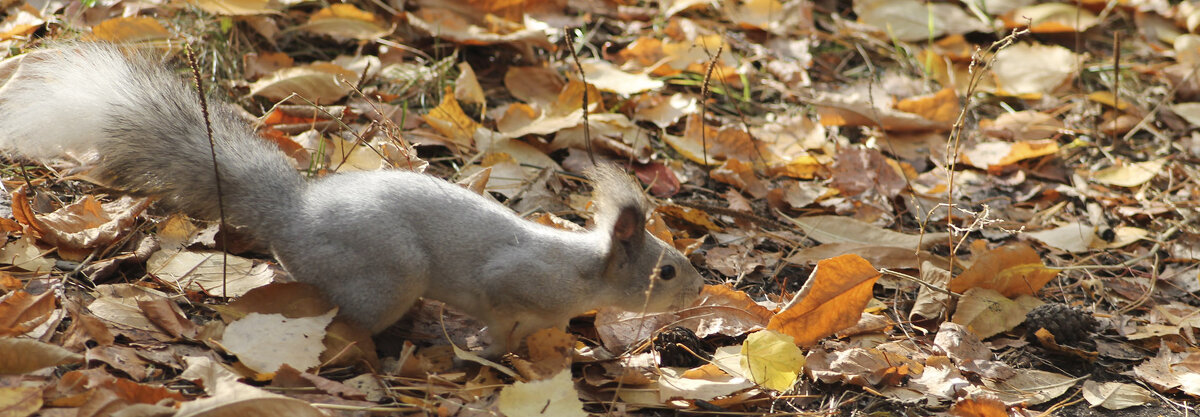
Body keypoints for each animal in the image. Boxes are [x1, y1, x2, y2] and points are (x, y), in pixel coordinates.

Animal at [0, 43, 700, 354]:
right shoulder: (516, 285)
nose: (699, 291)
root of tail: (295, 215)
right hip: (387, 276)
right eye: (666, 271)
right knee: (347, 316)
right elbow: (499, 322)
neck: (580, 269)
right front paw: (488, 355)